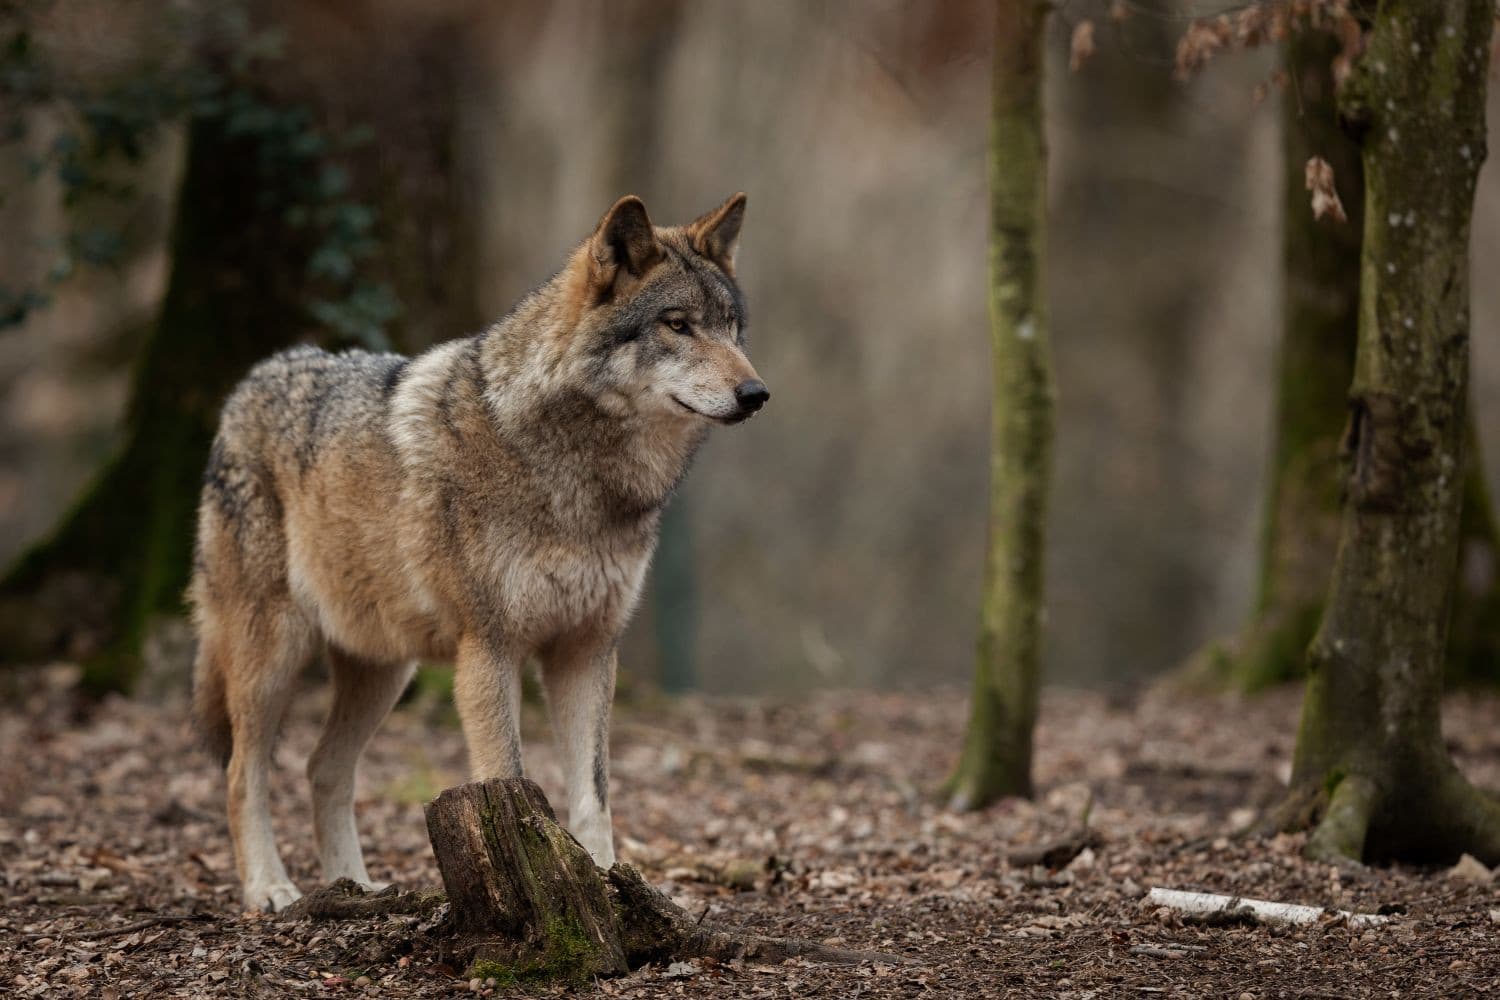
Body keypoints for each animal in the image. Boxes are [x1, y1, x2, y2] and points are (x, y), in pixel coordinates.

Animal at [190, 193, 766, 911]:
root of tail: (249, 383)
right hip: (273, 658)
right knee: (243, 773)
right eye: (679, 325)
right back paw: (269, 888)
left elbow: (593, 795)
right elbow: (509, 779)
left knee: (323, 767)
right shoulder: (490, 649)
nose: (756, 394)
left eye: (732, 328)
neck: (581, 478)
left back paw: (356, 887)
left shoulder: (586, 650)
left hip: (384, 670)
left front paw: (607, 886)